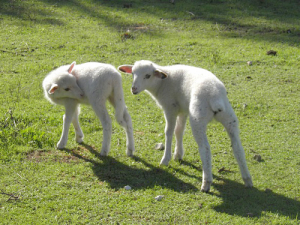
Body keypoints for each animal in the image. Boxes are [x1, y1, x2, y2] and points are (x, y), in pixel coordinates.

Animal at [119, 60, 253, 192]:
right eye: (133, 74)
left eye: (147, 75)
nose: (133, 89)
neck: (162, 83)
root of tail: (215, 98)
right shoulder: (182, 110)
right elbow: (179, 131)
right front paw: (178, 155)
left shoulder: (170, 108)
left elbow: (169, 132)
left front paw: (165, 159)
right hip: (229, 117)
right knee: (237, 147)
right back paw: (247, 179)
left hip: (198, 118)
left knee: (205, 148)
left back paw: (206, 183)